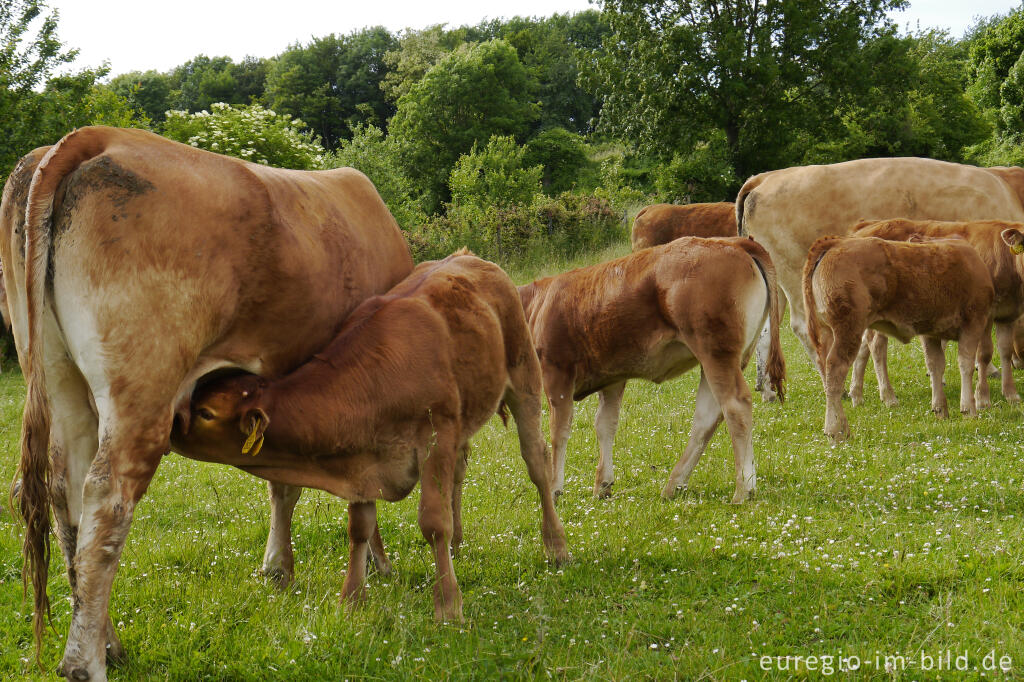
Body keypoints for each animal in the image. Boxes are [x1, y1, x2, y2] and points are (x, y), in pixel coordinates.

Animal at [4, 125, 413, 675]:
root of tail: (99, 136)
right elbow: (357, 488)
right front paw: (377, 564)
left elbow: (284, 483)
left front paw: (278, 569)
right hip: (141, 388)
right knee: (107, 498)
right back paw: (84, 663)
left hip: (56, 375)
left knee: (65, 495)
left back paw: (109, 644)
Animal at [168, 250, 569, 622]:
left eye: (206, 413)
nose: (171, 423)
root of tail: (469, 256)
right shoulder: (362, 456)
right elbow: (359, 528)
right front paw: (352, 600)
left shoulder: (435, 437)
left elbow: (433, 521)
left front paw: (448, 606)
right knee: (460, 471)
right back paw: (457, 546)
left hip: (524, 378)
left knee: (536, 463)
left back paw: (556, 546)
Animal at [520, 236, 782, 501]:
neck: (536, 306)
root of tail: (734, 242)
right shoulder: (613, 377)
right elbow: (605, 424)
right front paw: (603, 484)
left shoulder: (557, 373)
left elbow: (559, 432)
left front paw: (554, 488)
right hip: (721, 359)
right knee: (706, 417)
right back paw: (674, 485)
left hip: (716, 352)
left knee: (735, 405)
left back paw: (743, 490)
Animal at [733, 156, 1024, 401]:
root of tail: (766, 177)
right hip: (796, 277)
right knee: (804, 328)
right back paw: (835, 387)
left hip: (775, 280)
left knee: (767, 329)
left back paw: (768, 391)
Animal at [802, 235, 995, 440]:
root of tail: (836, 242)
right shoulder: (974, 322)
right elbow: (966, 364)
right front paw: (969, 409)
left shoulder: (930, 331)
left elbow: (935, 365)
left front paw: (940, 409)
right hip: (847, 328)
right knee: (835, 370)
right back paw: (835, 430)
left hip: (826, 332)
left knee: (827, 371)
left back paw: (842, 425)